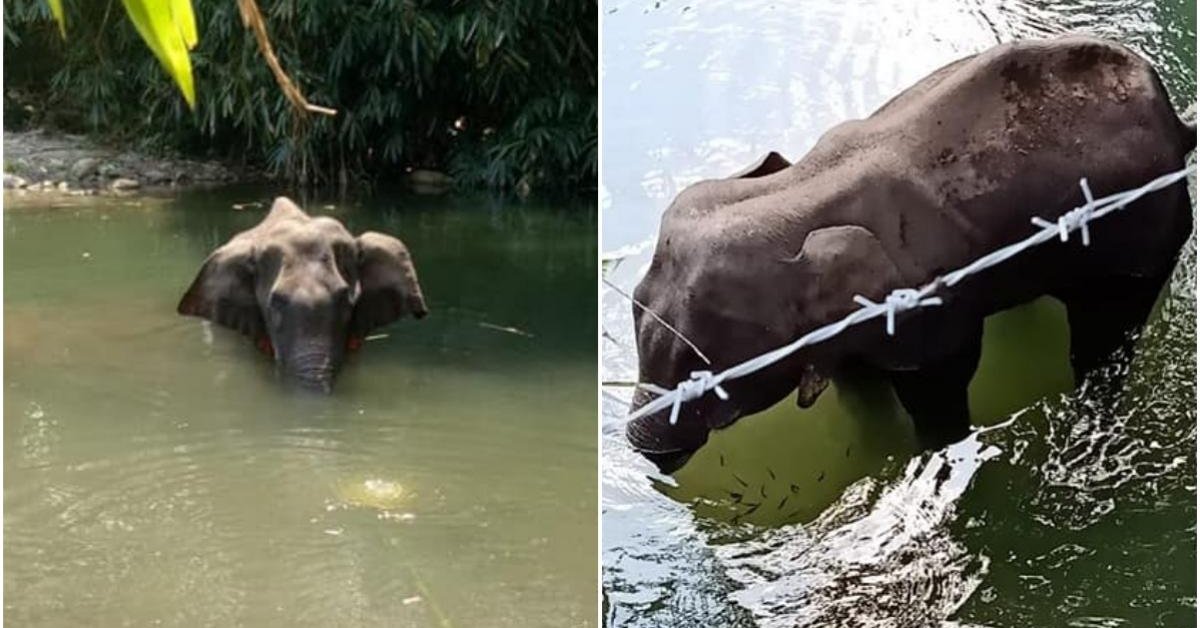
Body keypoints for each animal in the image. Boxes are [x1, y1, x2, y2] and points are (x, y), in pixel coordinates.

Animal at [627, 35, 1195, 472]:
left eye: (707, 377)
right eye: (634, 303)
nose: (652, 457)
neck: (801, 192)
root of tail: (1178, 122)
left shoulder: (926, 309)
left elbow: (942, 383)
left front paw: (928, 454)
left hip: (1145, 233)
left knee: (1104, 336)